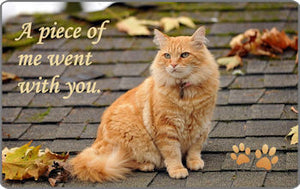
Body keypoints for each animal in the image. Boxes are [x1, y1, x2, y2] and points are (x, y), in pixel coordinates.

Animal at [70, 25, 220, 182]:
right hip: (132, 139)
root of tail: (95, 145)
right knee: (124, 162)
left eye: (184, 55)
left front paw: (194, 162)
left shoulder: (202, 124)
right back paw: (147, 165)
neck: (185, 93)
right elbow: (173, 154)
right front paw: (177, 170)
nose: (173, 64)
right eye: (167, 56)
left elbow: (195, 149)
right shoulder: (166, 128)